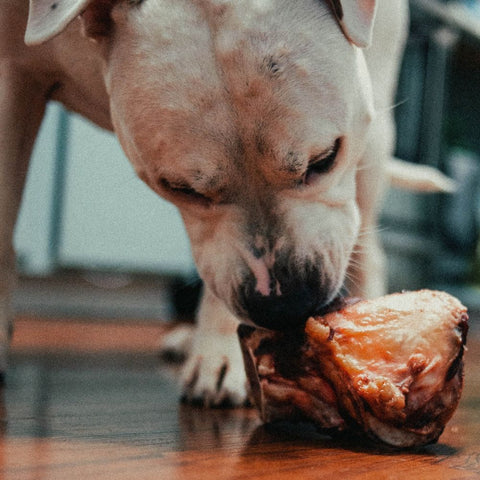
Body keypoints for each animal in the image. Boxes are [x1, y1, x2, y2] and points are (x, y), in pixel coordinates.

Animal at [1, 0, 450, 404]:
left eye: (324, 159)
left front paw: (219, 356)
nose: (285, 304)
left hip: (375, 137)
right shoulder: (13, 79)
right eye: (180, 188)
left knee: (370, 245)